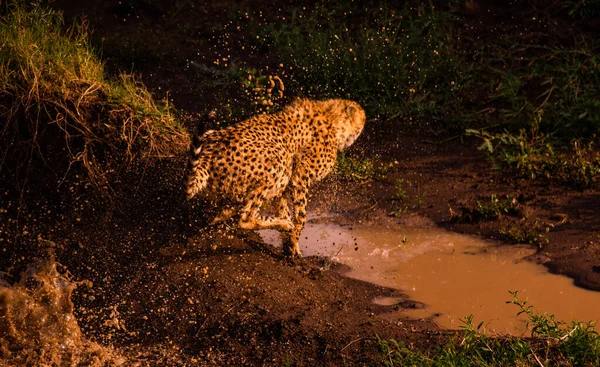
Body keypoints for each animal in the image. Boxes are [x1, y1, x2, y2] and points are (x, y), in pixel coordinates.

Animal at [186, 99, 366, 258]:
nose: (360, 131)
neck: (331, 118)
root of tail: (208, 155)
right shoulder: (300, 174)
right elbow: (301, 216)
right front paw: (292, 239)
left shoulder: (285, 186)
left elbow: (283, 208)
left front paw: (290, 244)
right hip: (279, 158)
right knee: (244, 218)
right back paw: (280, 223)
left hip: (214, 138)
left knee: (227, 210)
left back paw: (223, 214)